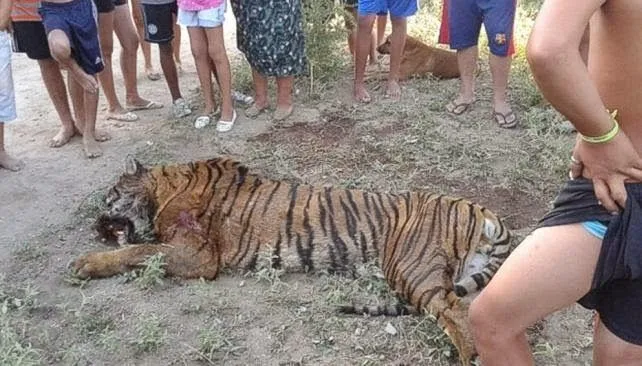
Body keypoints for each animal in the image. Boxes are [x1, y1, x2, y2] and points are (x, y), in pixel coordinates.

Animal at [70, 156, 510, 364]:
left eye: (109, 196)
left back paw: (470, 357)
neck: (164, 188)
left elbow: (137, 250)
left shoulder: (198, 255)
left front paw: (85, 263)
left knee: (457, 312)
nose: (94, 221)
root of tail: (481, 210)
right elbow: (140, 249)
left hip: (411, 270)